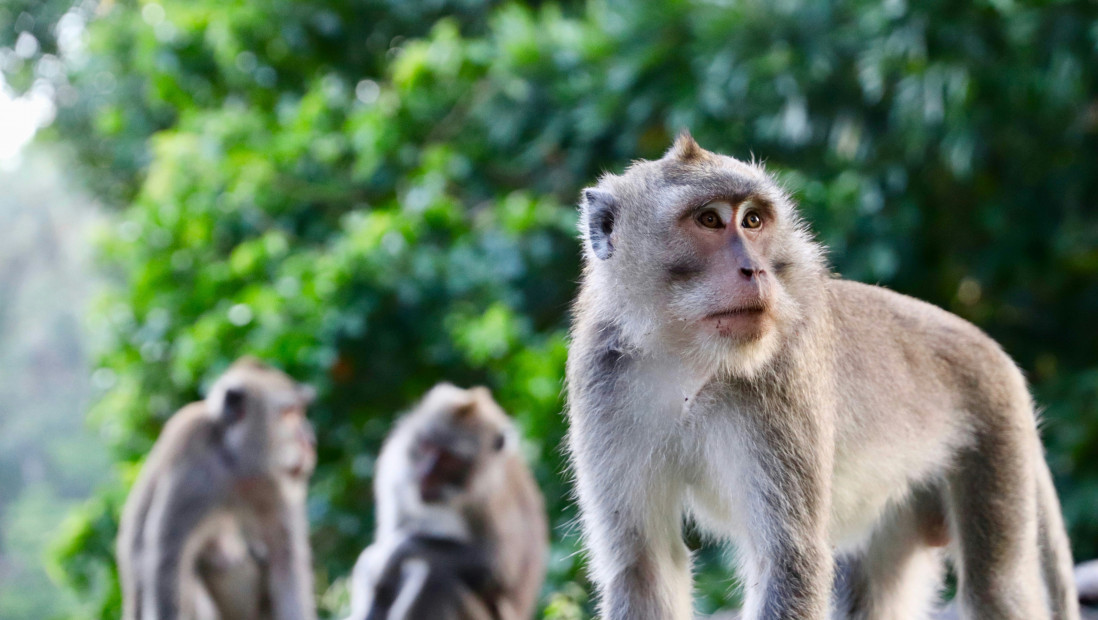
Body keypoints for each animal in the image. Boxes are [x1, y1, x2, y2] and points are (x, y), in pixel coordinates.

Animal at [116, 355, 318, 614]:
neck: (234, 462)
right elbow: (167, 557)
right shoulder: (193, 460)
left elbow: (285, 557)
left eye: (300, 411)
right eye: (289, 414)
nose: (310, 441)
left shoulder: (275, 486)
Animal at [349, 381, 546, 618]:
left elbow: (497, 567)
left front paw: (396, 553)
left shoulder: (491, 496)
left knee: (435, 577)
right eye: (426, 445)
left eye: (448, 459)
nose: (425, 474)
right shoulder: (394, 474)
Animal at [566, 134, 1080, 618]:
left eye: (752, 221)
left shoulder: (783, 375)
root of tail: (992, 350)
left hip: (995, 431)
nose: (755, 269)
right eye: (708, 220)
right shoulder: (600, 381)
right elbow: (643, 565)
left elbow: (789, 559)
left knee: (995, 587)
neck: (688, 359)